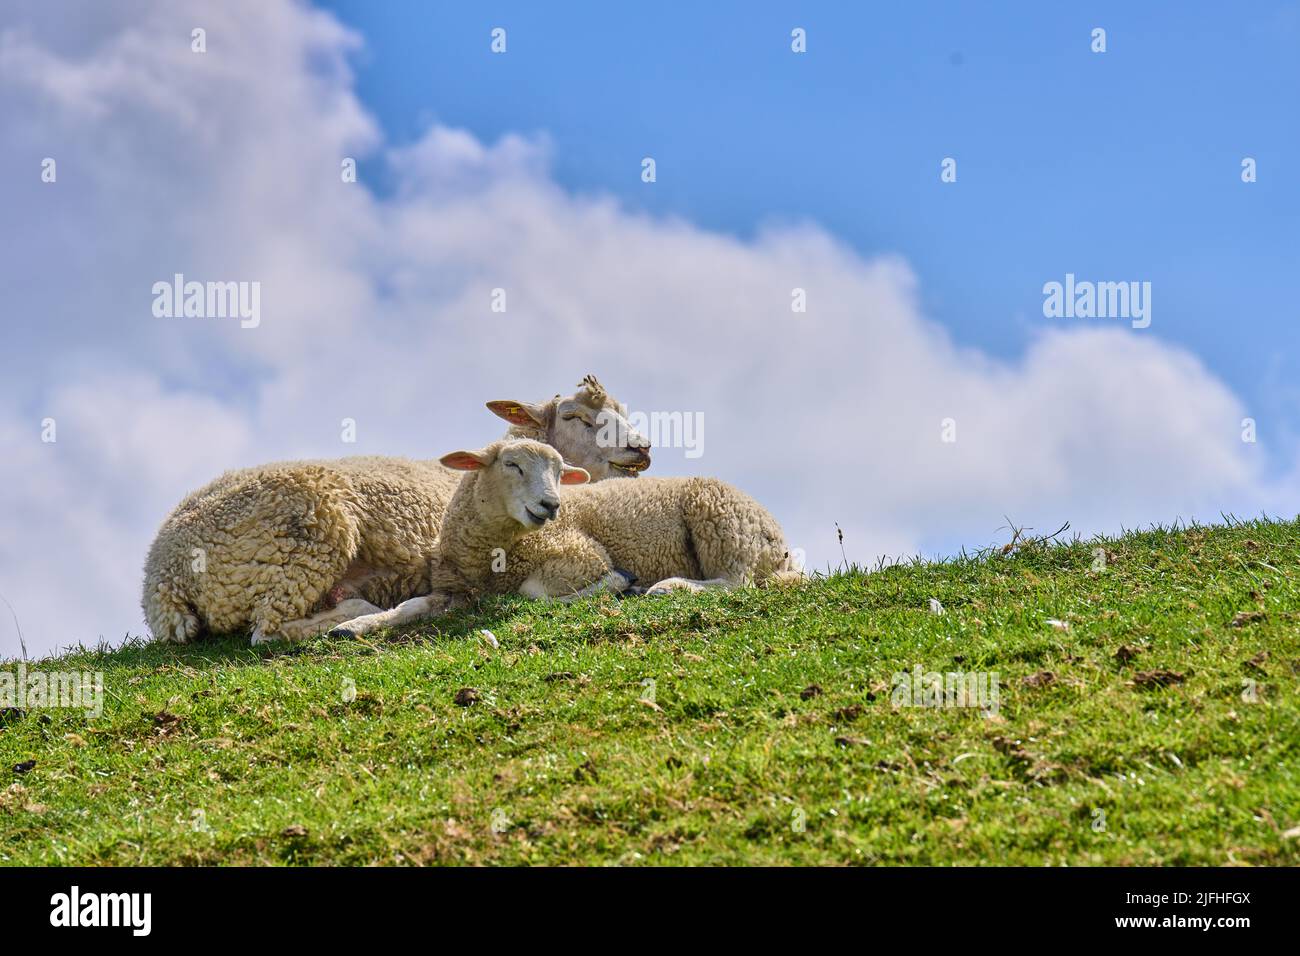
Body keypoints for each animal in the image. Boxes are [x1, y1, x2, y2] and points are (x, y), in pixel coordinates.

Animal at [139, 377, 650, 647]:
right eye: (574, 417)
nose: (641, 448)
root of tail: (162, 578)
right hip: (308, 536)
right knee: (267, 631)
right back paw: (355, 611)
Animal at [330, 439, 795, 634]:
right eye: (512, 465)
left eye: (558, 472)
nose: (551, 505)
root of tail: (782, 548)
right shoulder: (454, 589)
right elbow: (411, 606)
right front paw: (354, 625)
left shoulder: (581, 554)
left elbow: (534, 592)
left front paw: (619, 582)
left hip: (722, 522)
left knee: (736, 582)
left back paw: (667, 586)